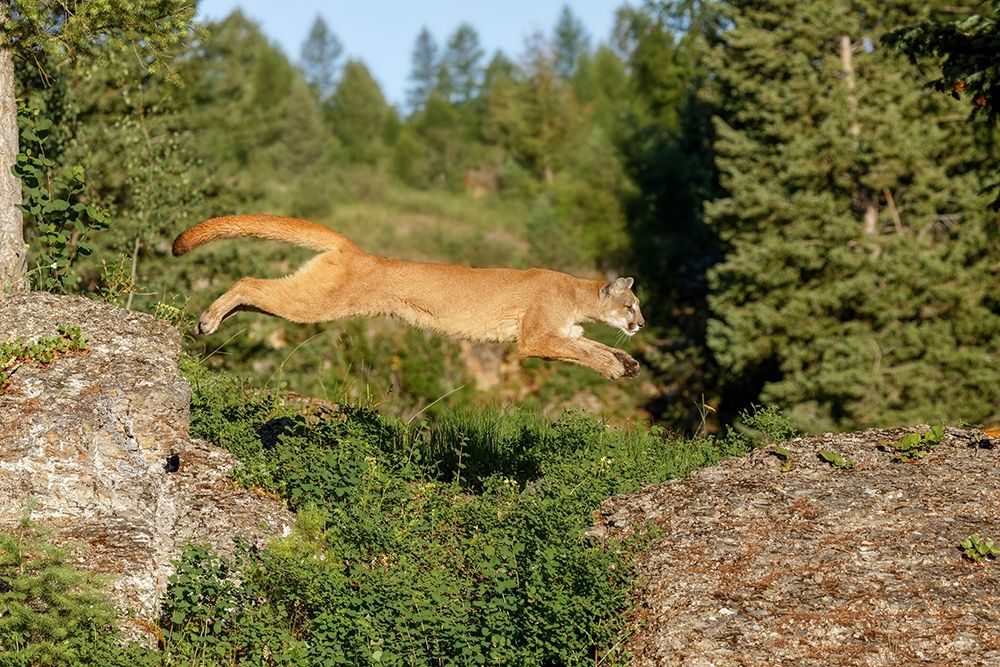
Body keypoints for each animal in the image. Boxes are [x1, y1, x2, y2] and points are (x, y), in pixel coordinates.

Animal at [171, 215, 644, 378]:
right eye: (631, 306)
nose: (639, 324)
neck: (580, 293)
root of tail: (357, 251)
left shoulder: (562, 332)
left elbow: (590, 345)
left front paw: (627, 362)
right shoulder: (537, 337)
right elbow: (583, 352)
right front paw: (615, 366)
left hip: (310, 296)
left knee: (255, 293)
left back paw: (211, 320)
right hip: (319, 302)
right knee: (249, 281)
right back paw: (208, 319)